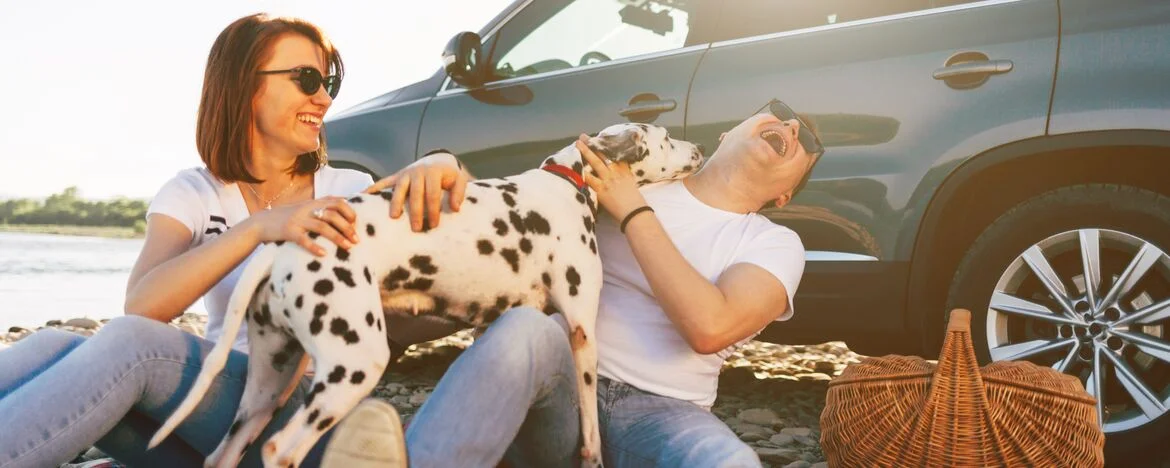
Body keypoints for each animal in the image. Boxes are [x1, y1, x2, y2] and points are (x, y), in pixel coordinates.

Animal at [149, 123, 697, 467]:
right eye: (666, 138)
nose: (696, 150)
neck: (566, 182)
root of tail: (283, 245)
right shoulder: (583, 333)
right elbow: (590, 430)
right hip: (354, 366)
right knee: (281, 449)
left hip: (266, 387)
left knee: (225, 453)